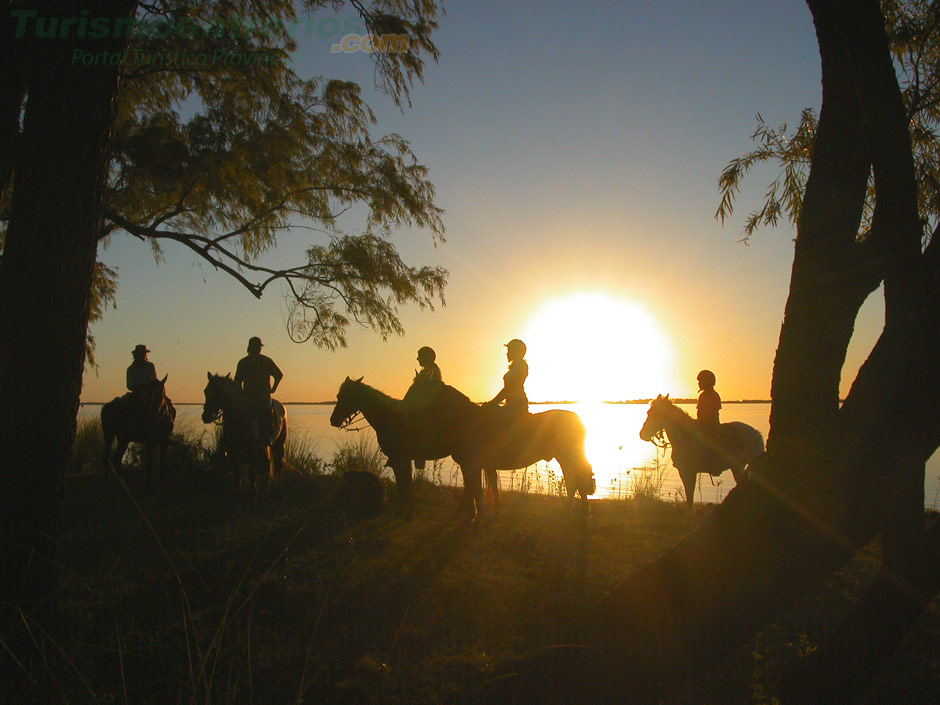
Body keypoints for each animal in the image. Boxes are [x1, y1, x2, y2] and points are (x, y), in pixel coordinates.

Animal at [330, 374, 596, 516]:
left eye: (343, 396)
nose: (333, 420)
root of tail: (579, 420)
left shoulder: (402, 458)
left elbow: (407, 485)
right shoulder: (469, 462)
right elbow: (472, 487)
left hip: (567, 457)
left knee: (576, 480)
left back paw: (574, 512)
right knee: (576, 480)